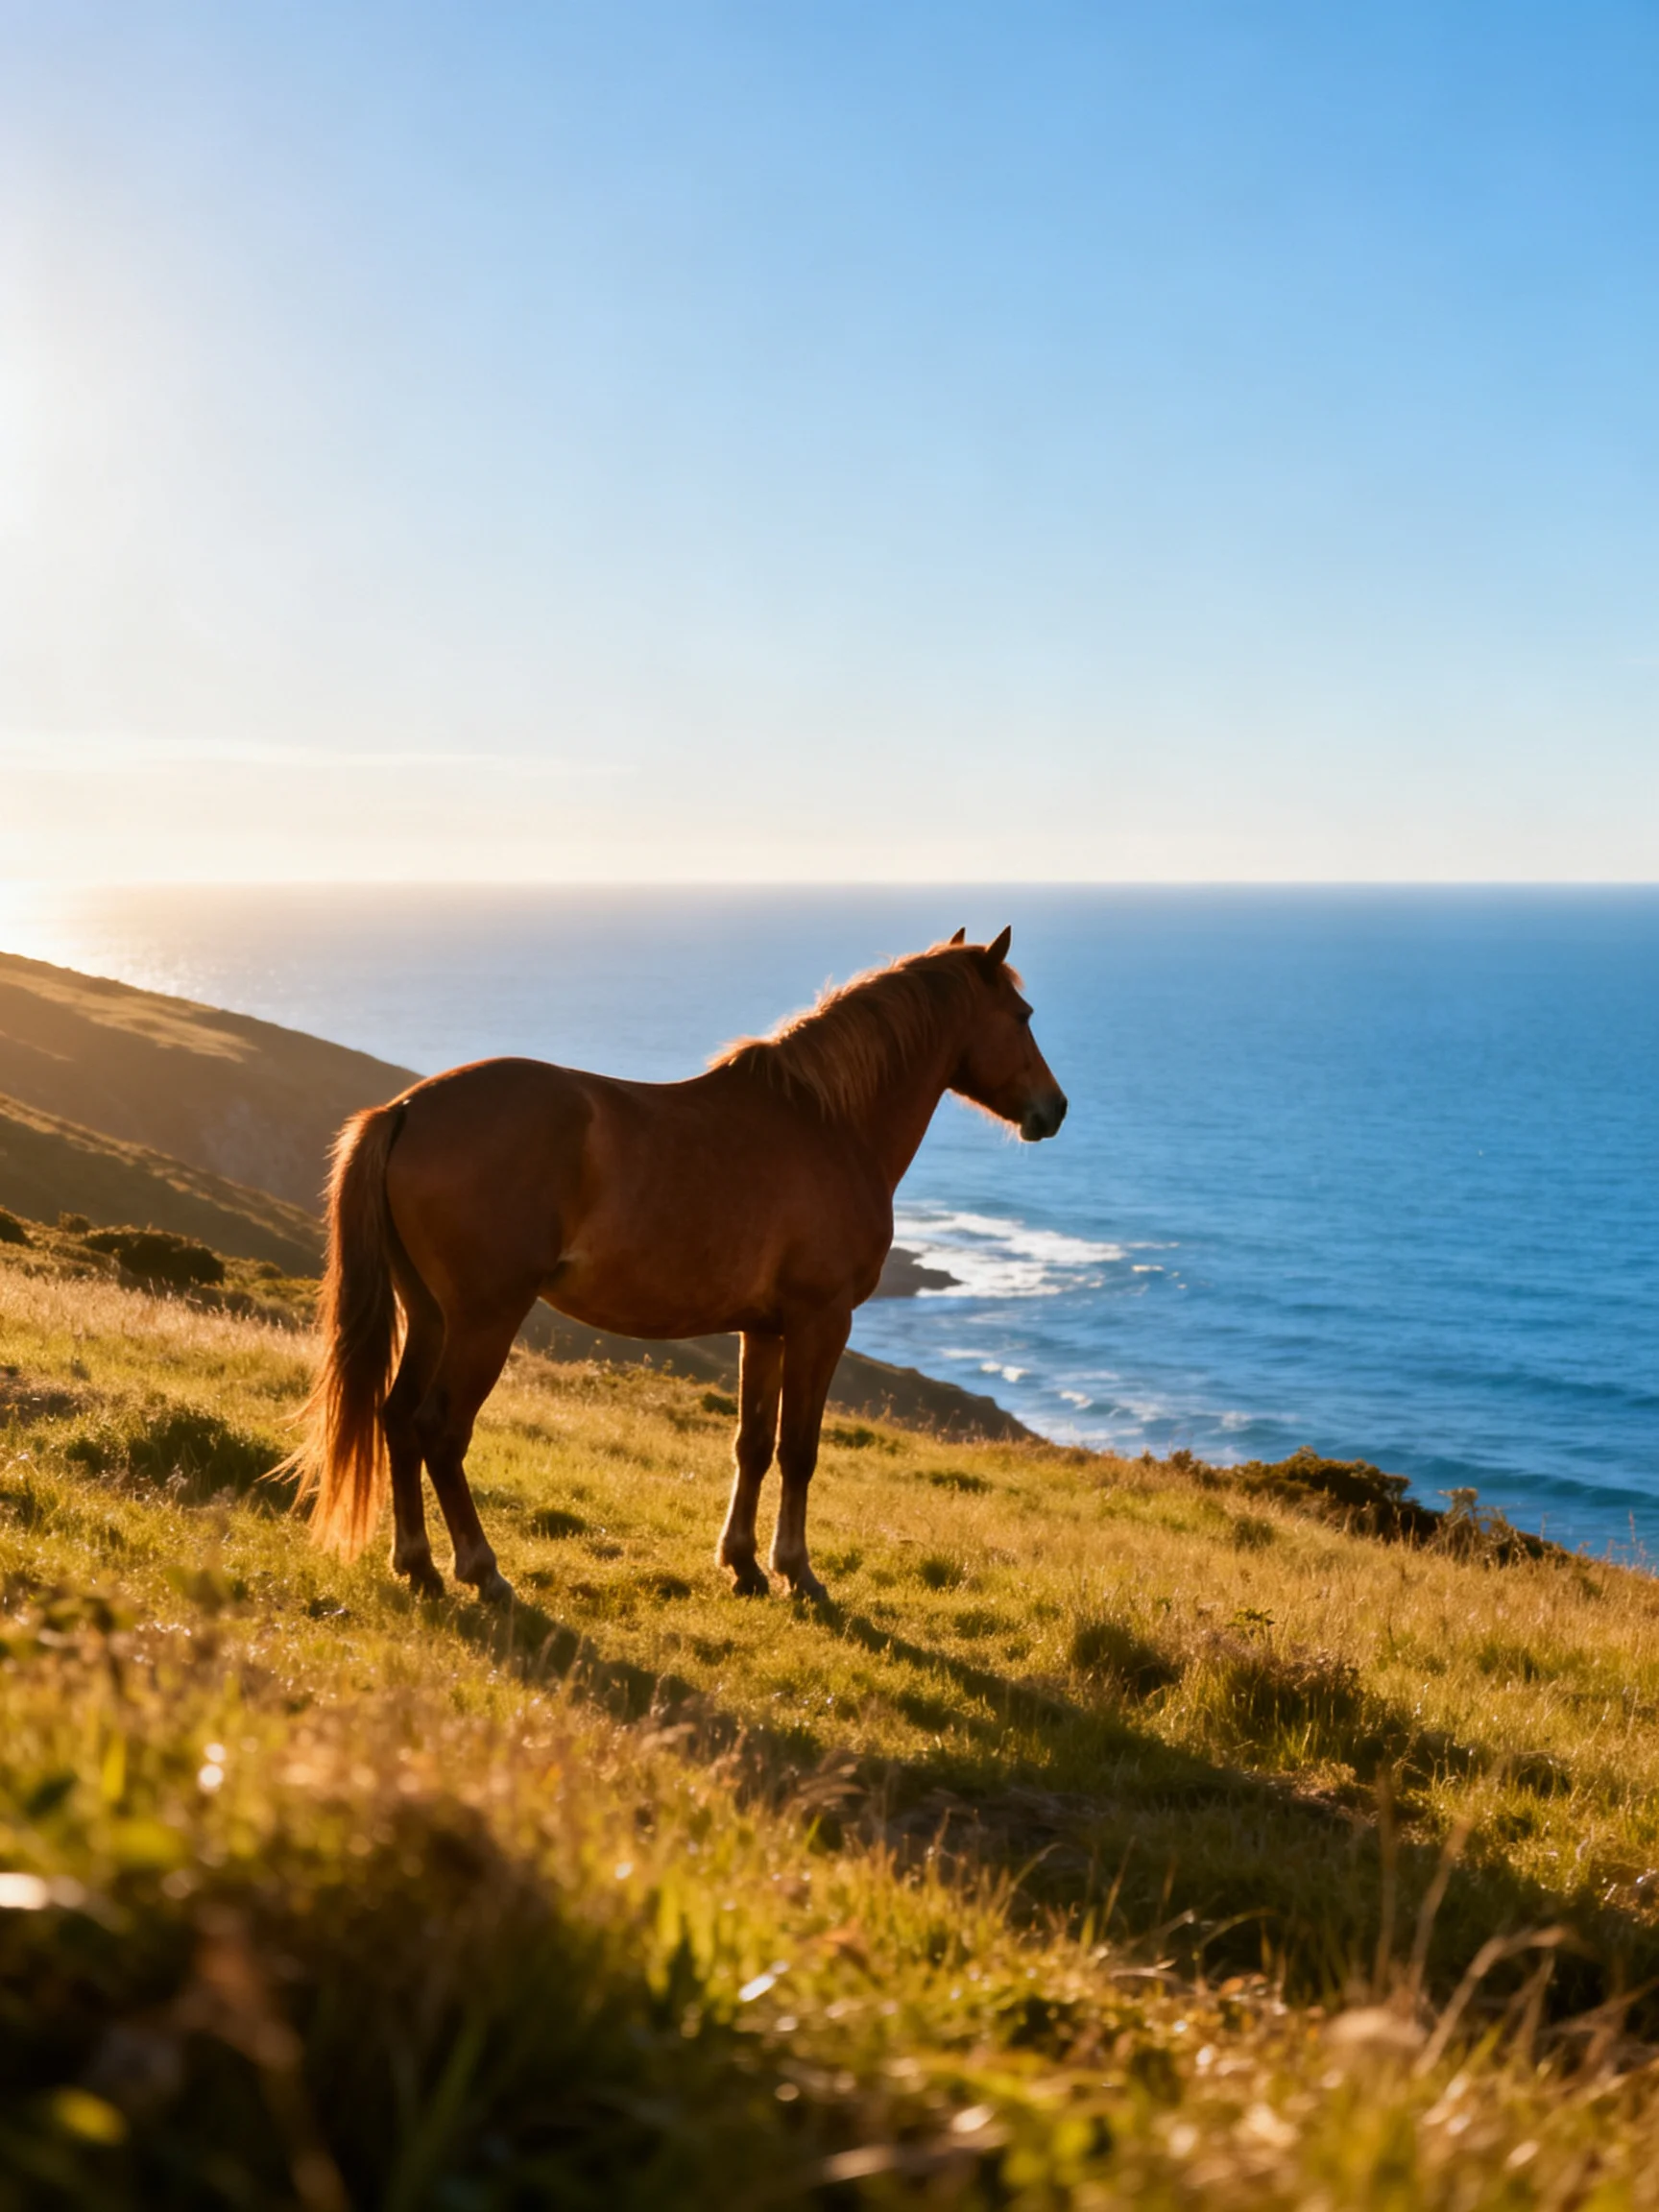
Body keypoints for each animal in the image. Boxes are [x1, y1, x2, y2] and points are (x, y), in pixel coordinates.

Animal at [285, 926, 1067, 1605]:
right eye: (1023, 1015)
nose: (1053, 1110)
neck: (829, 1124)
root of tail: (406, 1108)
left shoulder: (766, 1330)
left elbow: (752, 1444)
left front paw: (743, 1564)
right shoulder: (822, 1321)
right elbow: (799, 1450)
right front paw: (797, 1572)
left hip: (430, 1313)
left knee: (395, 1419)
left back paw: (417, 1565)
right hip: (484, 1319)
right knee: (439, 1431)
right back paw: (483, 1570)